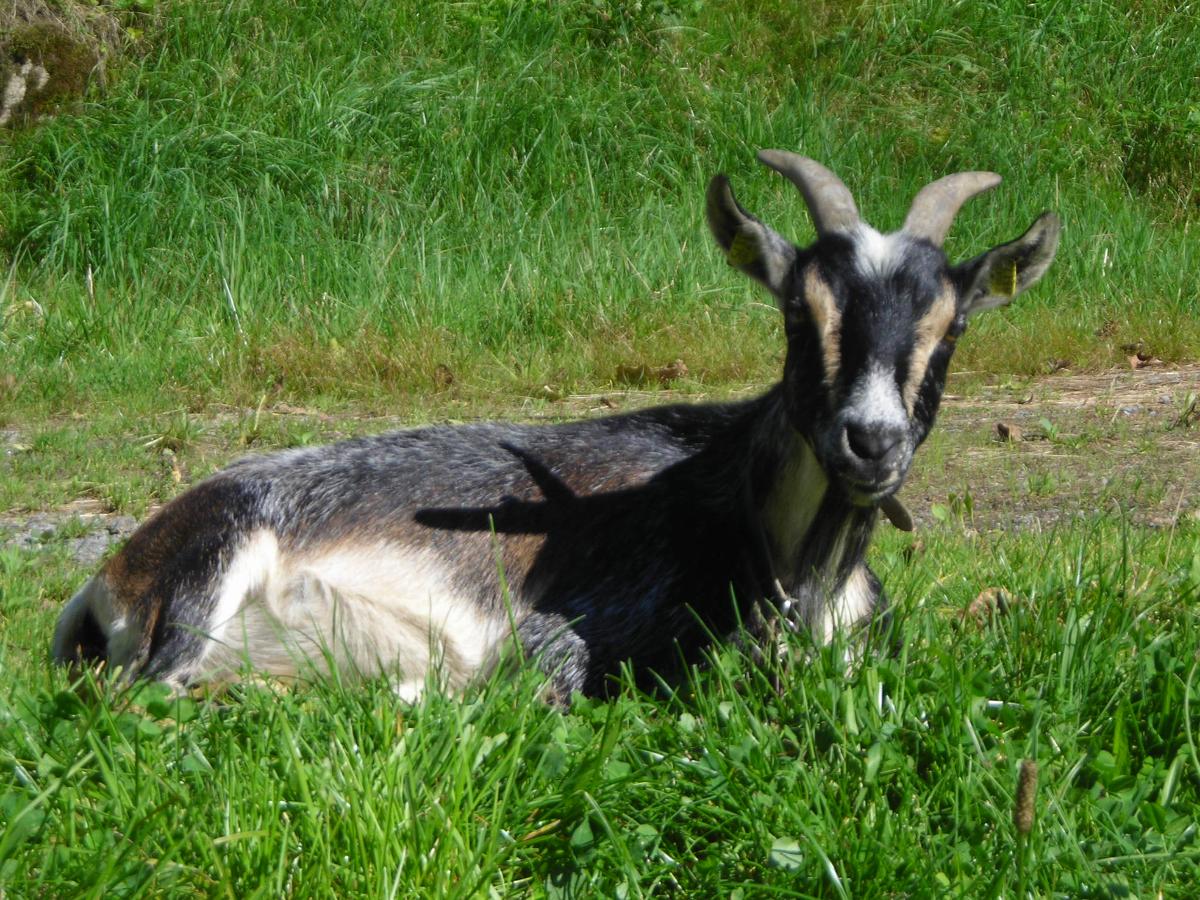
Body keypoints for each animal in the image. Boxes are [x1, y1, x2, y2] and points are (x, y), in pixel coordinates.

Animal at [51, 151, 1060, 705]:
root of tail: (108, 579)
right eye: (795, 315)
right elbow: (559, 669)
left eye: (950, 330)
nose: (871, 441)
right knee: (149, 696)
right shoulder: (562, 623)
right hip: (209, 571)